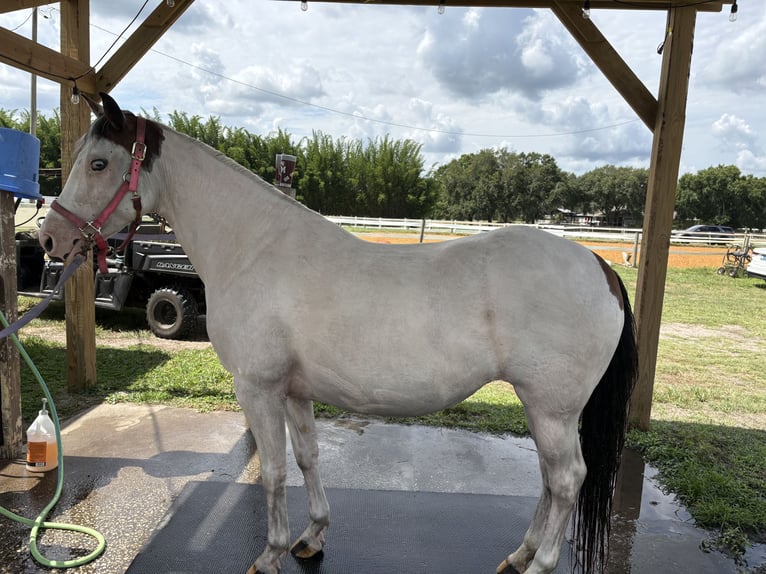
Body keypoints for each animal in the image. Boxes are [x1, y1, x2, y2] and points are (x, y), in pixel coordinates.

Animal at [40, 93, 638, 574]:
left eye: (98, 162)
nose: (50, 238)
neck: (253, 248)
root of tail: (598, 265)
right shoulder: (294, 391)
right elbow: (307, 458)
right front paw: (310, 537)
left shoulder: (258, 388)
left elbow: (273, 471)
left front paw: (270, 555)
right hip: (545, 409)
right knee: (549, 479)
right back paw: (518, 554)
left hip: (551, 407)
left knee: (567, 480)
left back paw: (539, 563)